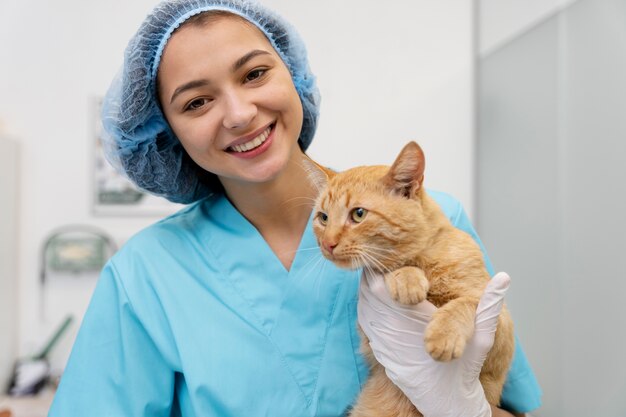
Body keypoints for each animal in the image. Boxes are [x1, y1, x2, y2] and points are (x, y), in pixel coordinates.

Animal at [310, 141, 512, 416]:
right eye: (323, 218)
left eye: (358, 214)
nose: (327, 244)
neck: (425, 260)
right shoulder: (371, 342)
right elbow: (395, 269)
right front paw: (407, 279)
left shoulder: (500, 328)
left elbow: (464, 303)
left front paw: (443, 334)